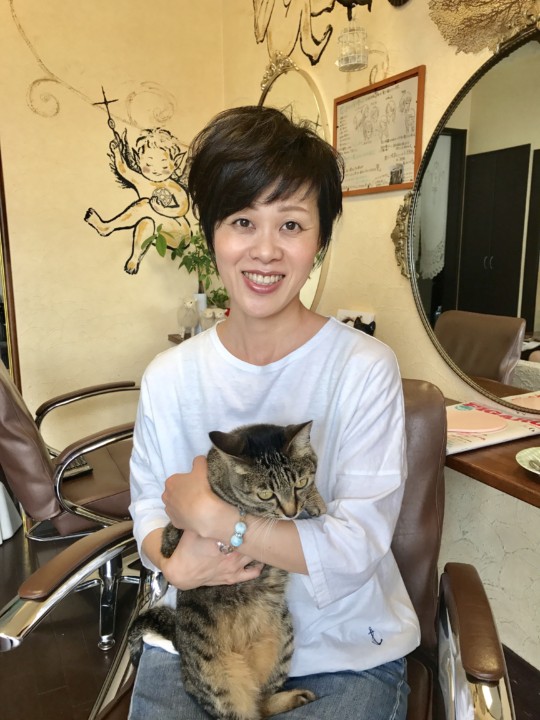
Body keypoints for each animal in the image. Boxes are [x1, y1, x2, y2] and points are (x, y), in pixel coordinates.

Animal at [128, 421, 326, 720]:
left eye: (300, 483)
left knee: (262, 703)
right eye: (266, 493)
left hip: (283, 641)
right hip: (222, 688)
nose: (291, 513)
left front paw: (315, 500)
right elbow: (171, 535)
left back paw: (292, 697)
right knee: (248, 712)